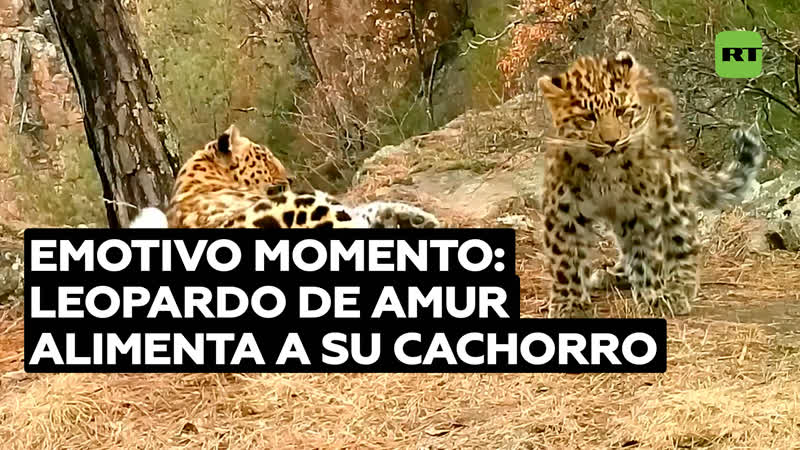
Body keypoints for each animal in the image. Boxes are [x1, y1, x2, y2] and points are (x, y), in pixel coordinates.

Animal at [537, 51, 766, 318]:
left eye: (621, 111)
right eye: (588, 118)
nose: (613, 141)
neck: (605, 173)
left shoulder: (640, 208)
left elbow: (645, 253)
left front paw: (655, 297)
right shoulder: (564, 210)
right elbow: (567, 259)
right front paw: (570, 304)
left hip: (670, 183)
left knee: (682, 231)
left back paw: (680, 285)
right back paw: (614, 275)